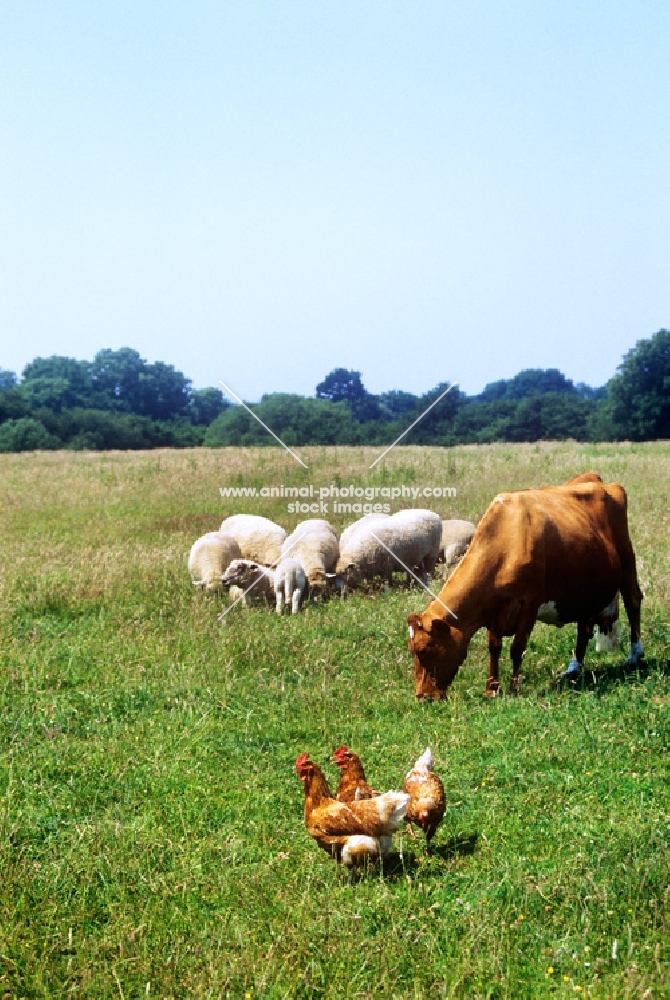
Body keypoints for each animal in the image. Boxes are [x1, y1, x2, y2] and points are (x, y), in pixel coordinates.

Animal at [410, 472, 644, 700]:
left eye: (424, 650)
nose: (422, 697)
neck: (505, 541)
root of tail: (597, 479)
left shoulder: (530, 602)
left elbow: (517, 648)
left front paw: (514, 689)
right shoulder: (494, 608)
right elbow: (494, 647)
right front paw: (492, 688)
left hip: (627, 561)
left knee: (633, 602)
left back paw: (635, 655)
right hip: (584, 588)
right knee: (584, 627)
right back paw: (573, 668)